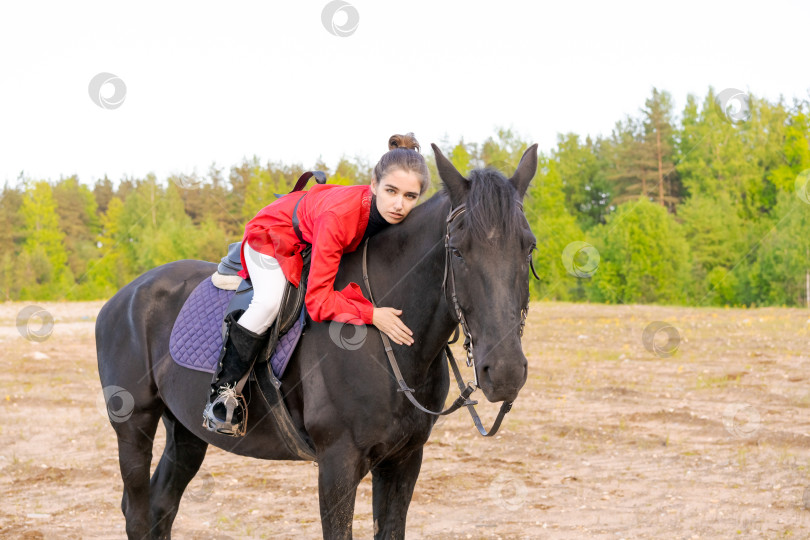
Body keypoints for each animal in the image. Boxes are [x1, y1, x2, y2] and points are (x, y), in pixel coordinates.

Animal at [94, 141, 536, 536]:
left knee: (162, 506)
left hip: (186, 431)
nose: (505, 372)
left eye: (528, 247)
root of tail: (123, 297)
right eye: (458, 251)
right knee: (138, 513)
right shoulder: (337, 464)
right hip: (134, 424)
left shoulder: (404, 460)